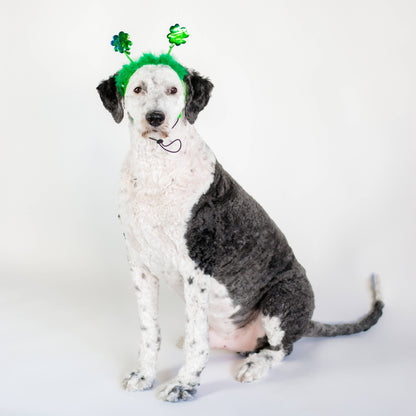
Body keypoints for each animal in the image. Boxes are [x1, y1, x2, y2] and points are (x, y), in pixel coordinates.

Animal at [97, 60, 384, 402]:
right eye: (138, 88)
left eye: (173, 89)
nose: (156, 118)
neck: (158, 169)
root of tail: (306, 322)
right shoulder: (140, 266)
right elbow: (149, 331)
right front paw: (144, 374)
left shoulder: (195, 271)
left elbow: (196, 343)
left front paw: (184, 384)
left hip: (282, 298)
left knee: (281, 348)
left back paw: (256, 365)